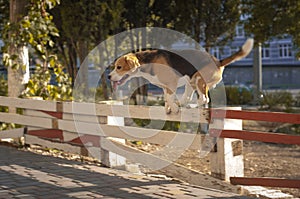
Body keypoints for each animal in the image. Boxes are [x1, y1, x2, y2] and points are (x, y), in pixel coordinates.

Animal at [108, 38, 253, 113]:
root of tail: (217, 61)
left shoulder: (171, 83)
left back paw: (190, 106)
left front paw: (173, 108)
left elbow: (169, 98)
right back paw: (183, 104)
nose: (109, 76)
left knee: (204, 99)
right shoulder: (165, 87)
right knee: (189, 98)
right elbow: (167, 98)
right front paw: (168, 108)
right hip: (191, 82)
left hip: (200, 79)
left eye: (119, 67)